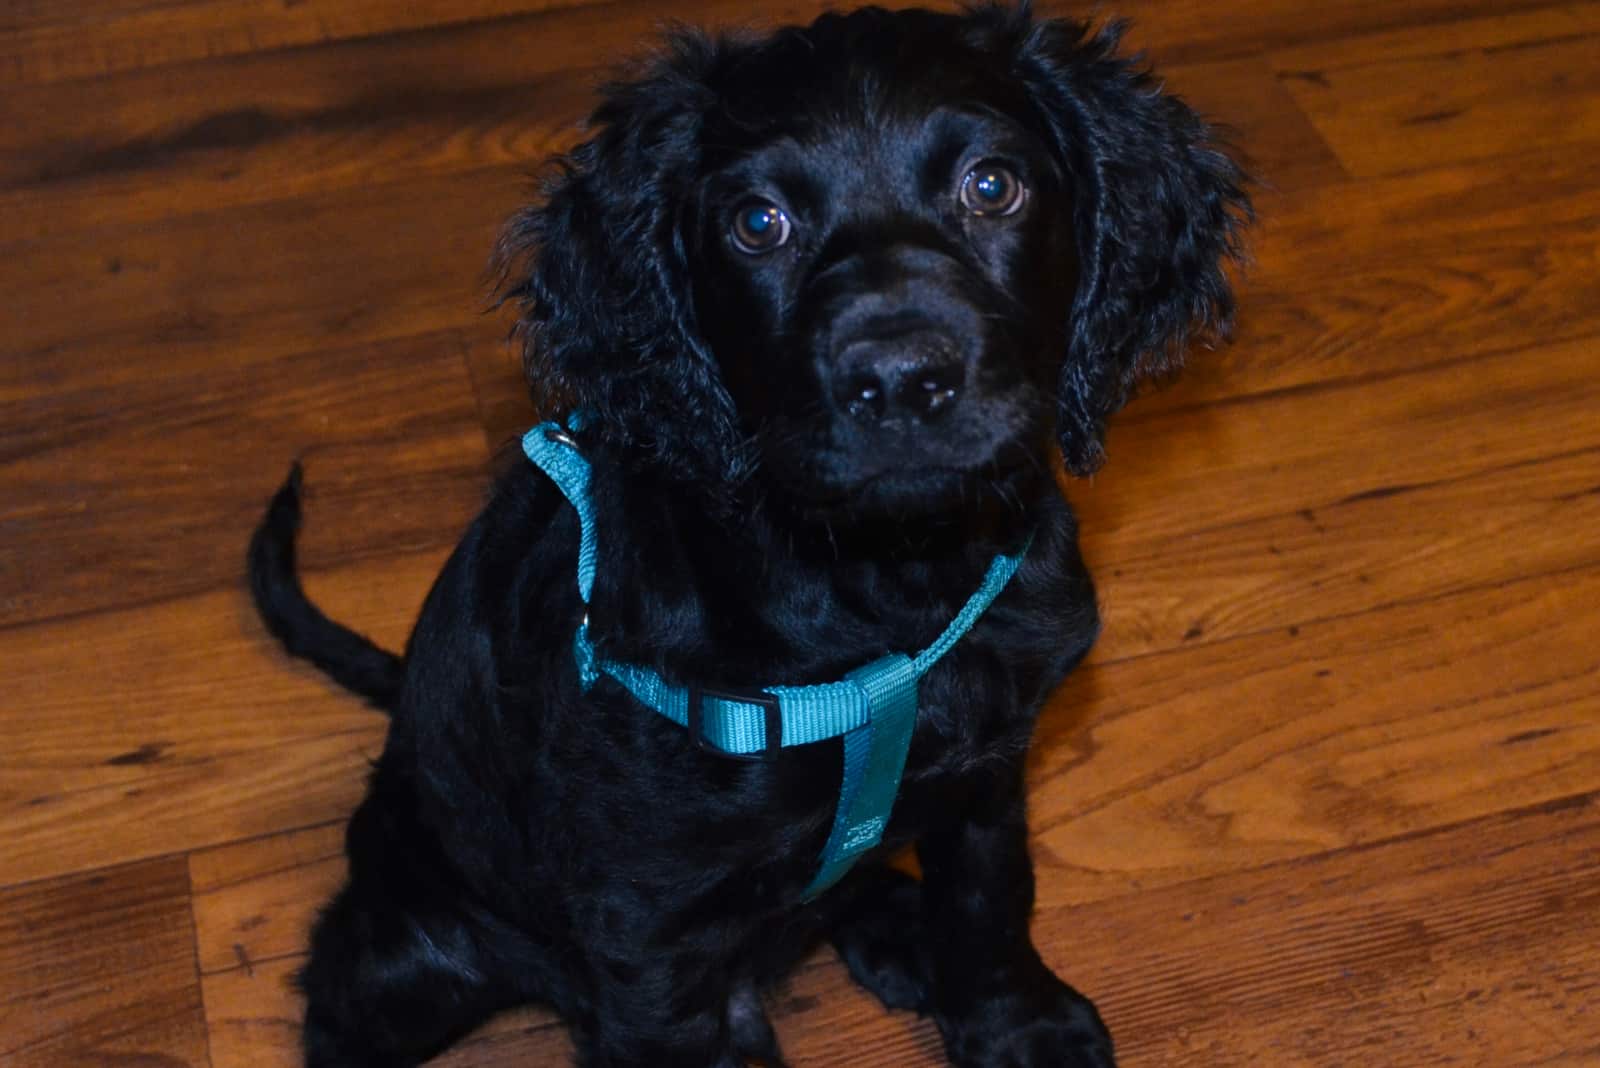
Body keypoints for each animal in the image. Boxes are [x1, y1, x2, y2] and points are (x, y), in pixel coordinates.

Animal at [249, 4, 1248, 1061]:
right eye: (758, 223)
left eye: (992, 186)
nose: (900, 381)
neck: (878, 589)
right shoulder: (643, 917)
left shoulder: (988, 768)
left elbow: (990, 900)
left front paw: (1014, 1023)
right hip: (413, 955)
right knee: (341, 1005)